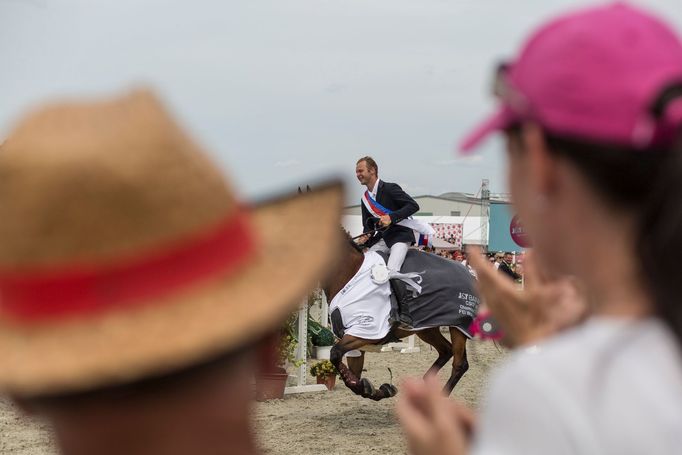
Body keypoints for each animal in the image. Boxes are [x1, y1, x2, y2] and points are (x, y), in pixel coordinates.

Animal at [320, 235, 476, 402]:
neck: (349, 276)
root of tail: (469, 273)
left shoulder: (367, 331)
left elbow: (335, 354)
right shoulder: (354, 338)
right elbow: (353, 379)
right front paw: (378, 390)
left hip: (458, 326)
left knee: (460, 364)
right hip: (427, 327)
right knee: (446, 350)